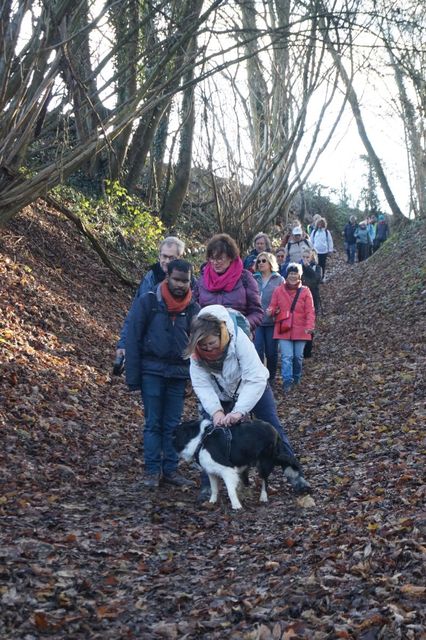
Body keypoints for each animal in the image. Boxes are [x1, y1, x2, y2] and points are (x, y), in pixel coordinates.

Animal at [172, 420, 310, 510]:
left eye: (175, 435)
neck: (201, 441)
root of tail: (274, 430)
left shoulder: (227, 469)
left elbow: (230, 491)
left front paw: (236, 506)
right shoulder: (211, 472)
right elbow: (214, 489)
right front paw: (212, 502)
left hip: (264, 463)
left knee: (265, 480)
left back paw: (263, 497)